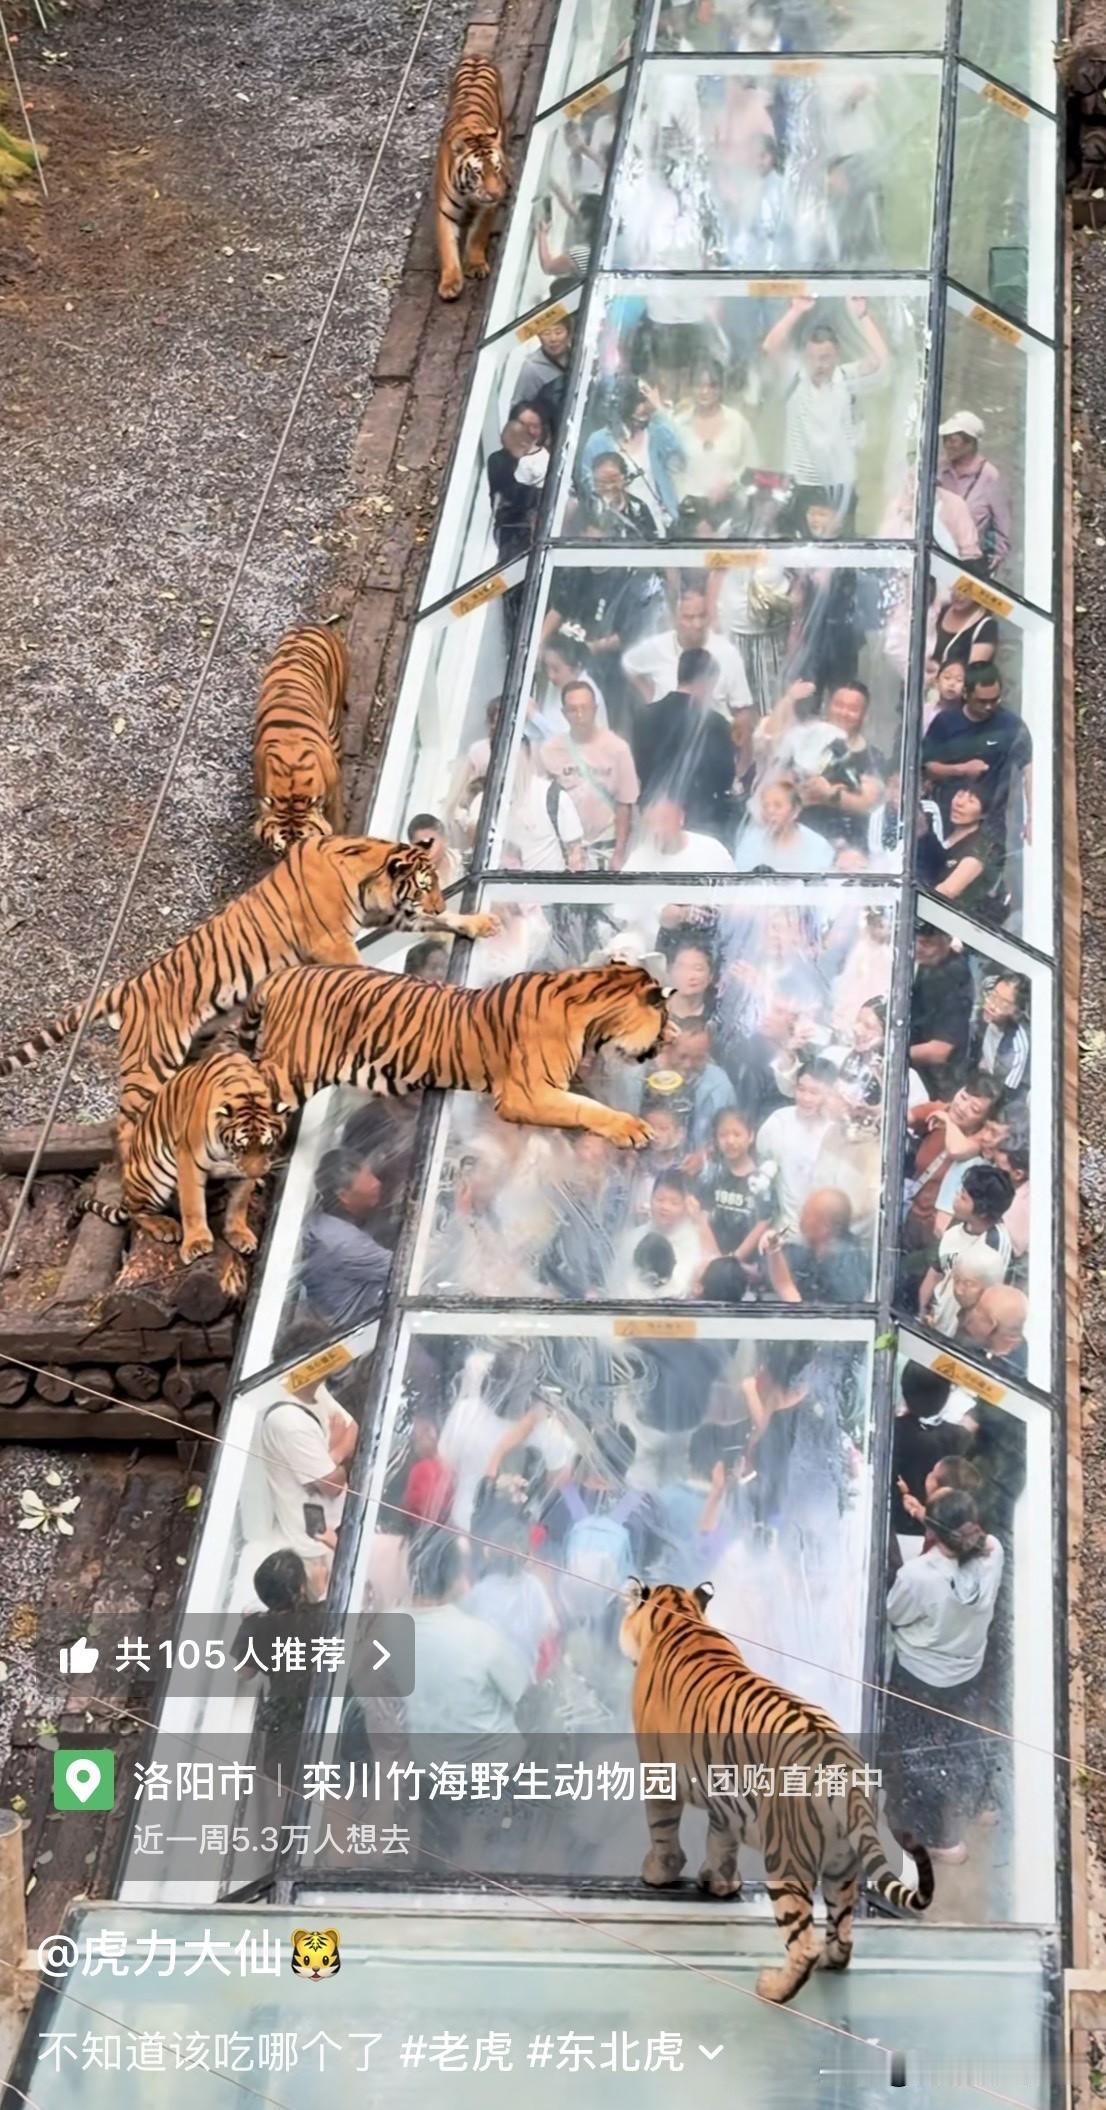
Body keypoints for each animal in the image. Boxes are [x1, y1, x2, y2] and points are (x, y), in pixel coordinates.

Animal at [0, 836, 498, 1138]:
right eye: (424, 884)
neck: (364, 871)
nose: (438, 899)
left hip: (194, 1043)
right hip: (151, 1060)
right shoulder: (334, 941)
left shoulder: (393, 917)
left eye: (437, 884)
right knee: (122, 1129)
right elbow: (365, 974)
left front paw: (477, 922)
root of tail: (126, 987)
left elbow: (434, 924)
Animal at [79, 1044, 291, 1282]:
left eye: (267, 1145)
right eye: (240, 1147)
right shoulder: (189, 1159)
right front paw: (197, 1243)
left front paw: (238, 1233)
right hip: (154, 1178)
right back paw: (165, 1226)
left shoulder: (241, 1172)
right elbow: (192, 1206)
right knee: (137, 1212)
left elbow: (239, 1203)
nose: (254, 1175)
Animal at [240, 959, 675, 1146]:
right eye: (665, 1014)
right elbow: (584, 1107)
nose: (672, 1034)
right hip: (288, 1073)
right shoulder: (524, 1094)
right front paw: (630, 1128)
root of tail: (282, 974)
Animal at [435, 56, 511, 301]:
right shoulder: (445, 211)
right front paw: (450, 283)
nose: (497, 193)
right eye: (478, 172)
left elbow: (478, 234)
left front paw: (475, 265)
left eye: (496, 168)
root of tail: (477, 56)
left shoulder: (488, 206)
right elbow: (447, 246)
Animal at [620, 1580, 934, 2007]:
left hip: (787, 1860)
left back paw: (773, 1988)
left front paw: (659, 1873)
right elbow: (721, 1841)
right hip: (842, 1865)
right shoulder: (724, 1797)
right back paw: (829, 1962)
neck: (679, 1615)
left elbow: (663, 1828)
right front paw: (719, 1882)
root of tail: (845, 1770)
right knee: (843, 1933)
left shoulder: (658, 1771)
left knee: (803, 1943)